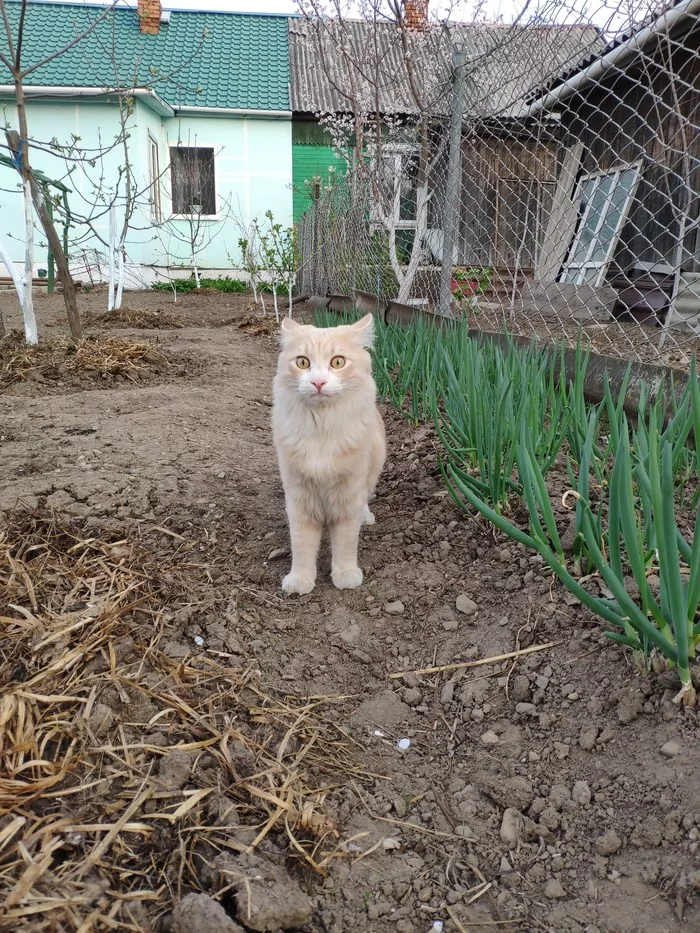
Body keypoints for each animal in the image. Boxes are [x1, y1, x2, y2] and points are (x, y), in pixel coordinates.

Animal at [270, 310, 386, 592]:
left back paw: (366, 516)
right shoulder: (299, 497)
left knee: (365, 499)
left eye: (338, 362)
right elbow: (301, 544)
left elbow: (345, 542)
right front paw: (300, 580)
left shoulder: (348, 495)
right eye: (302, 363)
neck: (321, 427)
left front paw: (346, 575)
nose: (318, 382)